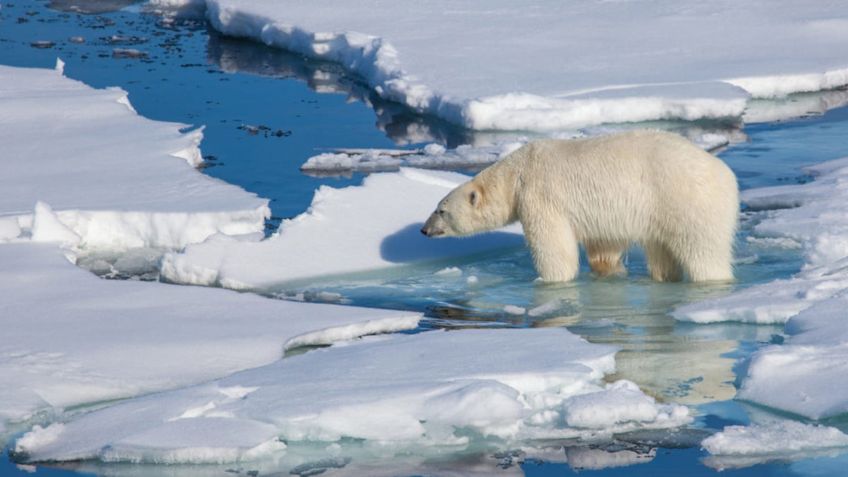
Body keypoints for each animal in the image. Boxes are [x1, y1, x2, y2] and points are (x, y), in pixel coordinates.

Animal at [420, 128, 740, 280]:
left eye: (441, 210)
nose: (424, 230)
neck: (516, 173)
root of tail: (727, 177)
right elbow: (604, 250)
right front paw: (608, 271)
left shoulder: (540, 195)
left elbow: (553, 249)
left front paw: (550, 280)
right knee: (662, 253)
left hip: (687, 201)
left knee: (703, 252)